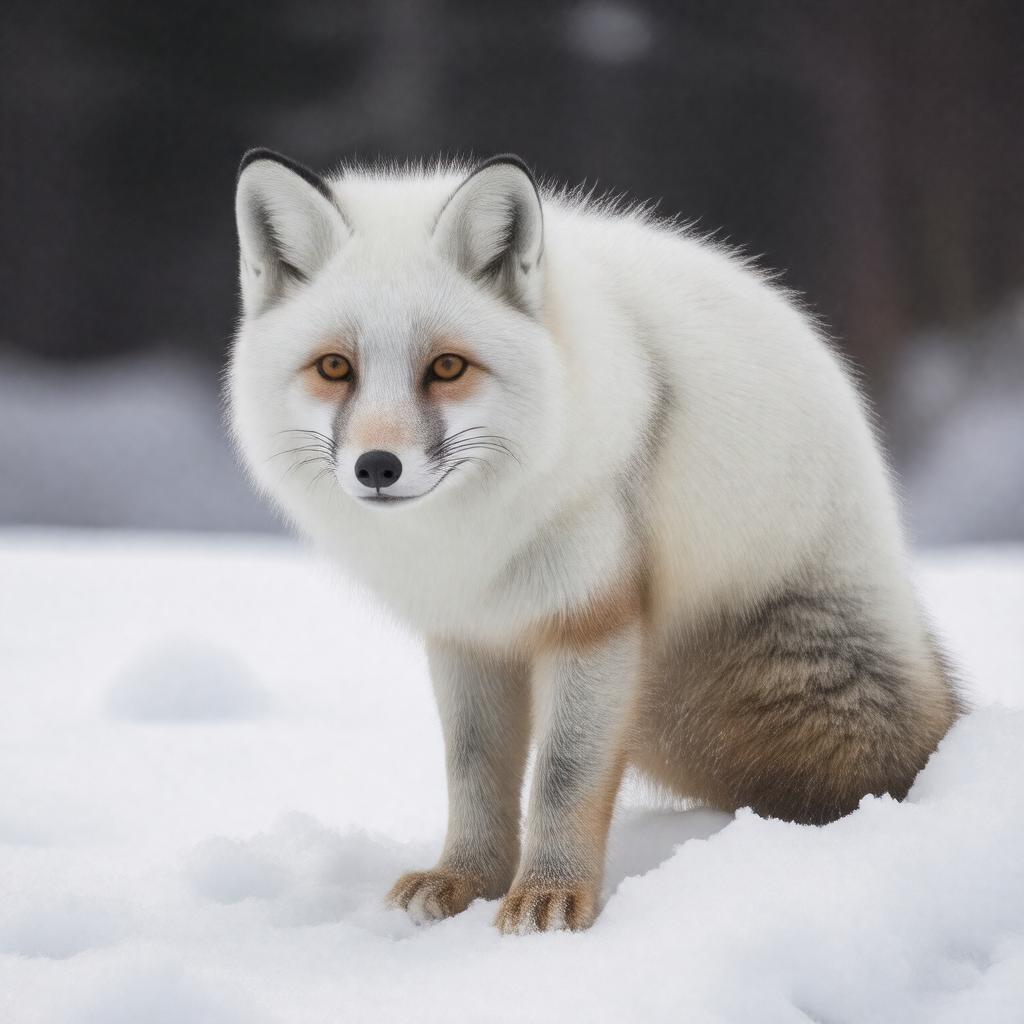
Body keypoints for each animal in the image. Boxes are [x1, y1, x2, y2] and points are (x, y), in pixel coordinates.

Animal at [227, 149, 962, 934]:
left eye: (448, 367)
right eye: (335, 368)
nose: (376, 467)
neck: (467, 544)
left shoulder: (590, 616)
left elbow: (563, 776)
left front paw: (550, 899)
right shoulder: (468, 633)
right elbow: (474, 774)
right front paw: (464, 880)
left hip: (817, 707)